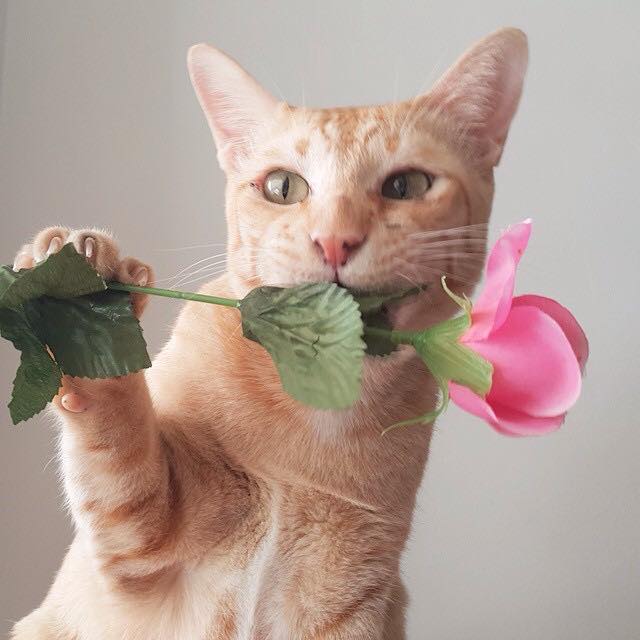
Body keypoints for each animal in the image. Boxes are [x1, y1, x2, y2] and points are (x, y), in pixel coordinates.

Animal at [10, 27, 528, 640]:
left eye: (407, 185)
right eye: (283, 187)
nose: (335, 240)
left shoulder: (355, 593)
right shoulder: (141, 538)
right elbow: (118, 435)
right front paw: (82, 276)